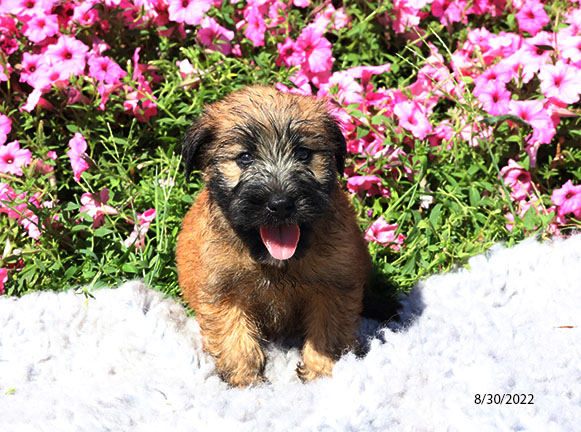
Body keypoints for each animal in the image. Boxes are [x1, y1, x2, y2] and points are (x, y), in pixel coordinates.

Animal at [174, 86, 372, 386]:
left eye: (303, 154)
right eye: (244, 158)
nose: (280, 204)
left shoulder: (335, 285)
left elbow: (328, 333)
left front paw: (319, 372)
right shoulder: (222, 290)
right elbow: (235, 339)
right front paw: (245, 380)